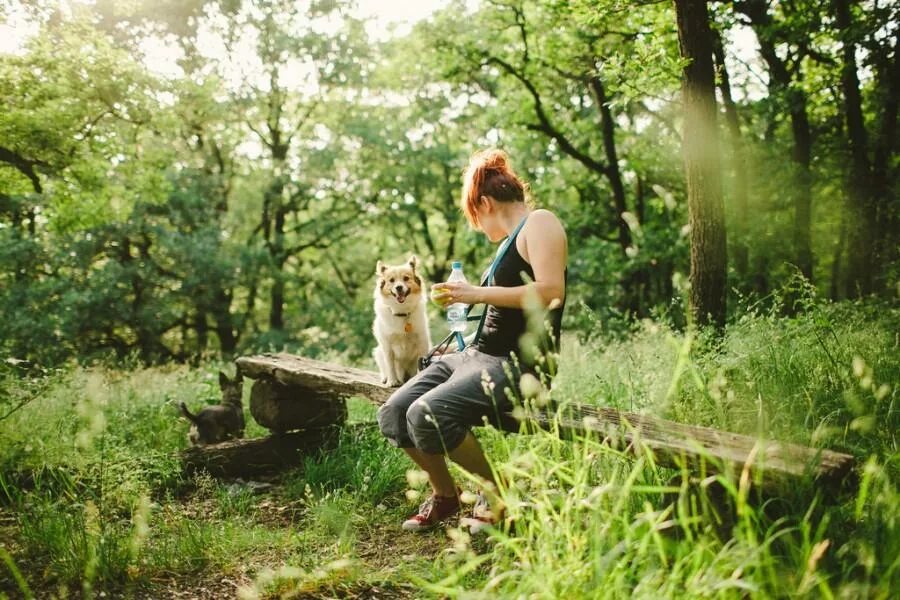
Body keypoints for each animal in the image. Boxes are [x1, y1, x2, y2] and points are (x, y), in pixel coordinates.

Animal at [370, 253, 430, 384]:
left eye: (406, 278)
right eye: (391, 280)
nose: (398, 287)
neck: (401, 312)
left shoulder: (422, 341)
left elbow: (423, 361)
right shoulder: (386, 344)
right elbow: (390, 365)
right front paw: (392, 381)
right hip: (378, 352)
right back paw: (386, 378)